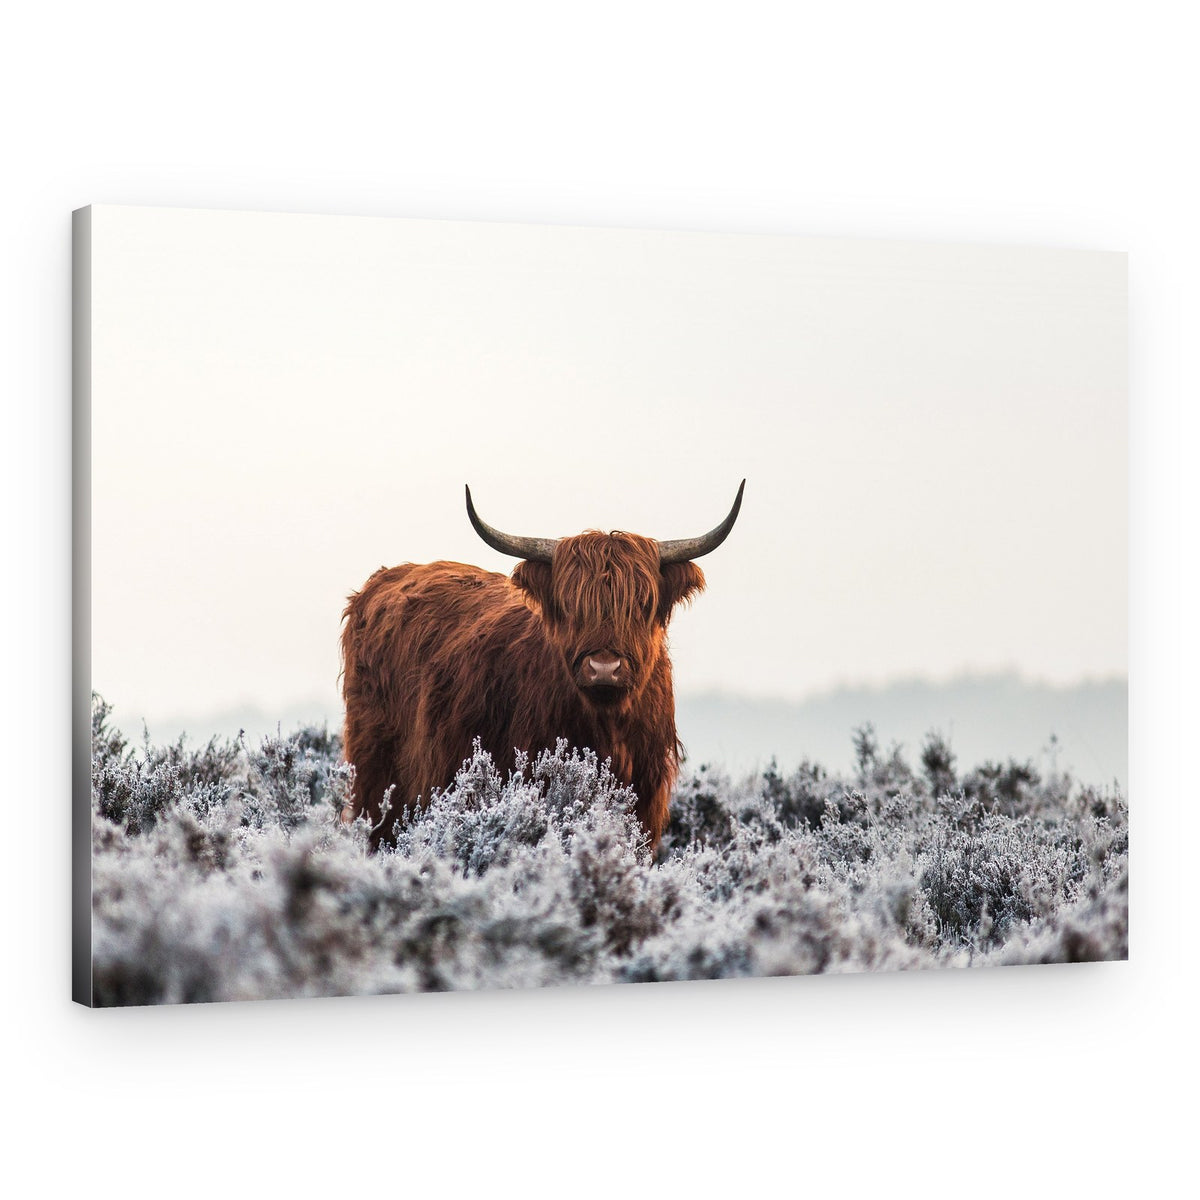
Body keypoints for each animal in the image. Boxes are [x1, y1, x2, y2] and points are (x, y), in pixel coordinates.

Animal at [339, 482, 744, 852]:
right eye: (569, 604)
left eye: (642, 603)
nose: (604, 668)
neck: (606, 726)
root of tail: (385, 578)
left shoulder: (645, 799)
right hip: (377, 776)